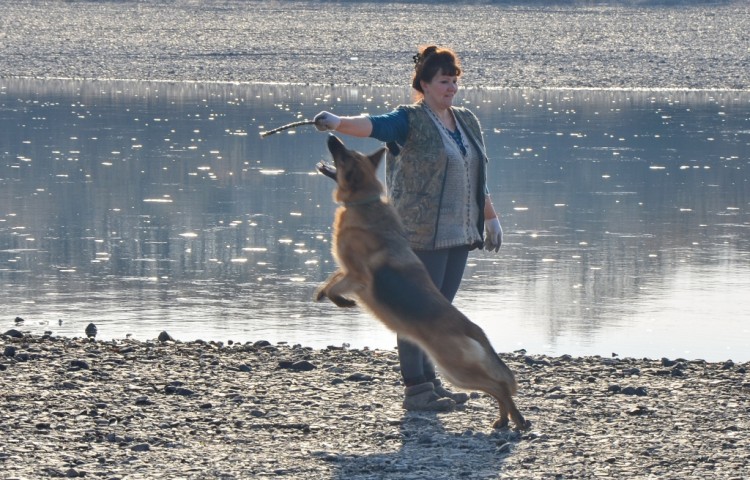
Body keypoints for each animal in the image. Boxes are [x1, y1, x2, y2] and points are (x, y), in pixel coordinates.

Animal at [314, 135, 532, 432]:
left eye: (345, 155)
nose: (331, 136)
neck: (363, 204)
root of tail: (472, 328)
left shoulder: (357, 275)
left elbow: (335, 287)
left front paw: (341, 301)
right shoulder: (346, 271)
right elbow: (330, 280)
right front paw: (321, 293)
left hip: (456, 370)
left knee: (499, 385)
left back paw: (515, 418)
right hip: (456, 370)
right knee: (498, 387)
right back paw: (504, 419)